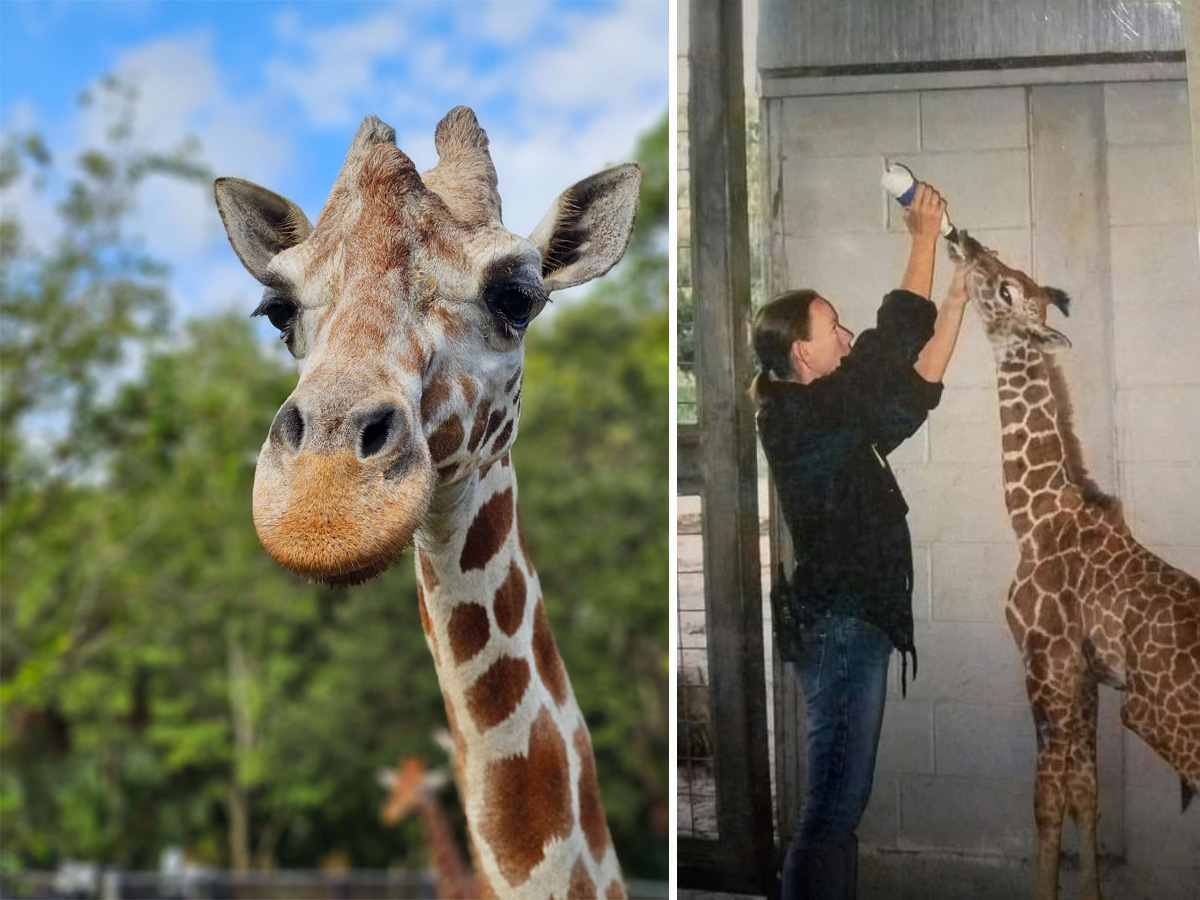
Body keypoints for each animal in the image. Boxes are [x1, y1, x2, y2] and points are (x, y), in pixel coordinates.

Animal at [947, 231, 1200, 900]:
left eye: (1008, 289)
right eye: (1003, 266)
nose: (963, 240)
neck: (1034, 519)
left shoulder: (1045, 664)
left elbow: (1047, 801)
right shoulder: (1084, 677)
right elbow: (1086, 795)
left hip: (1160, 722)